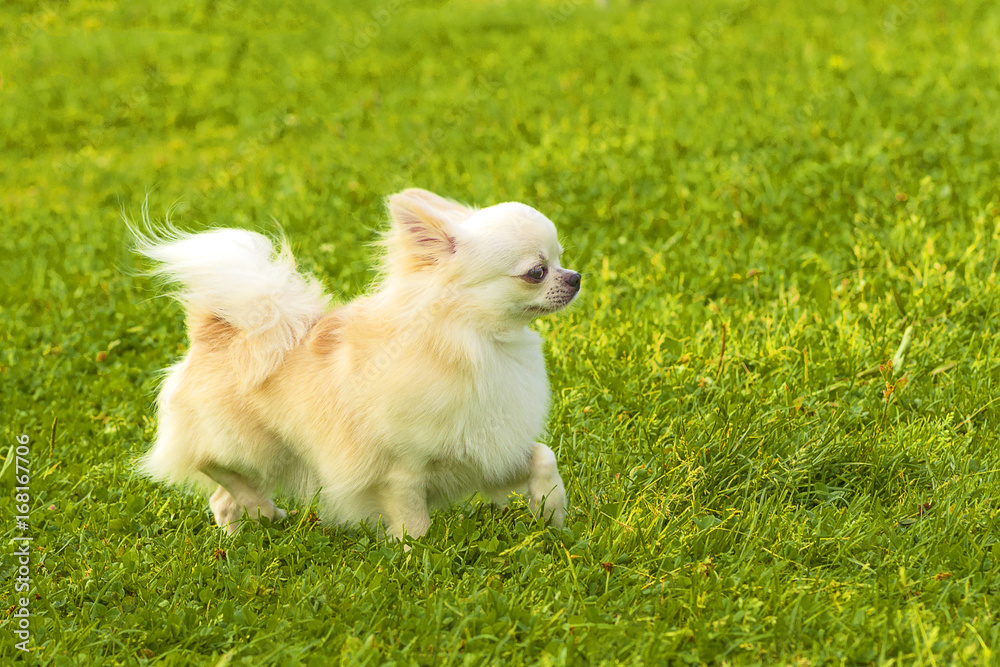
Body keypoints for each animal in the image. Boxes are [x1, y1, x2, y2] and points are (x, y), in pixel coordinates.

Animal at [137, 185, 584, 540]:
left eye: (561, 258)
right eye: (537, 271)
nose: (575, 277)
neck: (479, 342)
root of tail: (215, 330)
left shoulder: (484, 451)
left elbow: (543, 455)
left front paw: (550, 509)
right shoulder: (400, 472)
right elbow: (414, 524)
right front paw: (418, 560)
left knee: (220, 499)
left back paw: (238, 535)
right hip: (248, 445)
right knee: (210, 465)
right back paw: (260, 509)